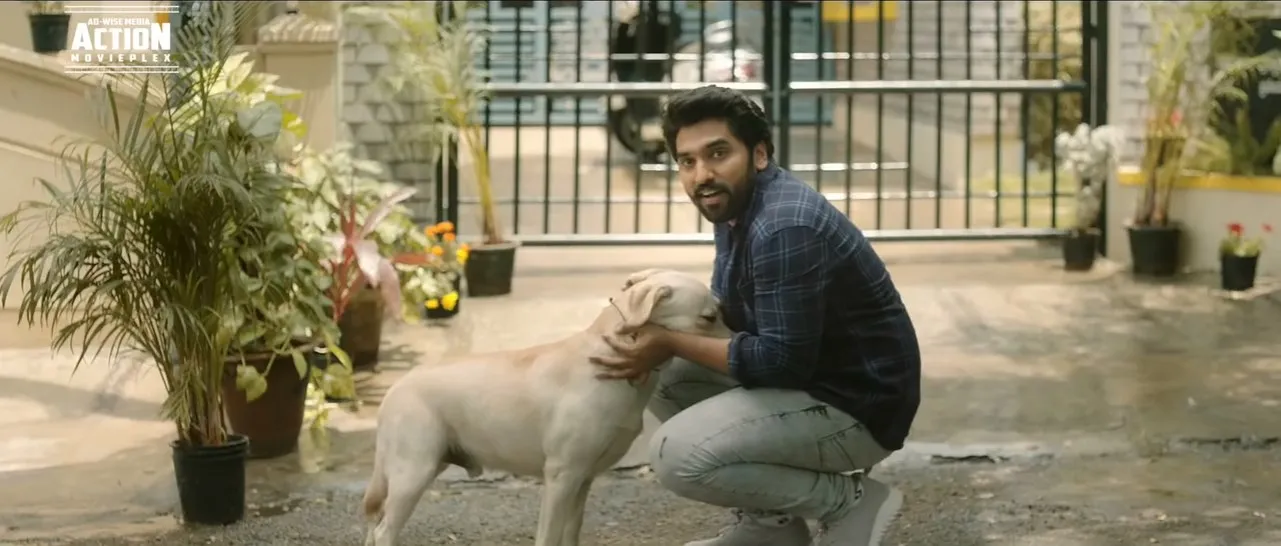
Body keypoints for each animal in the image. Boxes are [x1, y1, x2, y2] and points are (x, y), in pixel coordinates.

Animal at [362, 268, 731, 546]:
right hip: (414, 471)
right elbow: (550, 535)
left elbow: (571, 532)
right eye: (709, 317)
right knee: (383, 532)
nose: (737, 340)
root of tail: (395, 389)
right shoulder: (561, 476)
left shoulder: (584, 479)